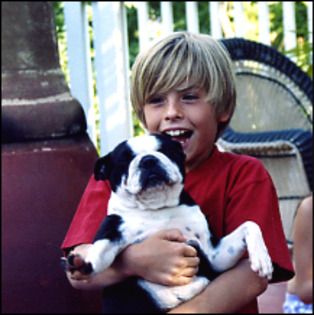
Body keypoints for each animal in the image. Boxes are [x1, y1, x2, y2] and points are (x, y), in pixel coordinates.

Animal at [66, 134, 272, 314]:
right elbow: (101, 248)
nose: (148, 160)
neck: (157, 209)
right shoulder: (113, 225)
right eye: (124, 161)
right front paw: (83, 262)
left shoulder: (215, 256)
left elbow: (250, 224)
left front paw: (262, 258)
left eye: (166, 151)